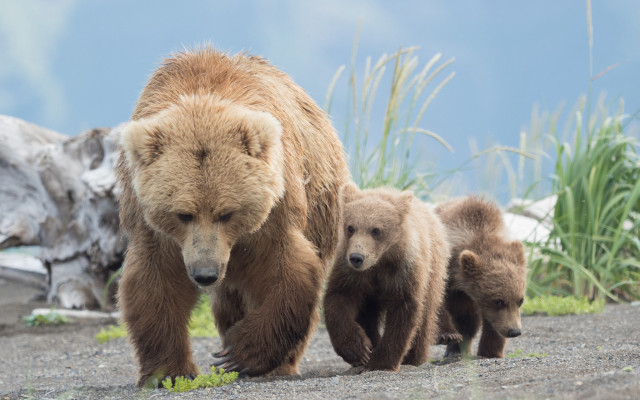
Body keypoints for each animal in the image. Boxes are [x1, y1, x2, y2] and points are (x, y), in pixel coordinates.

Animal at [116, 47, 350, 386]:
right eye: (183, 214)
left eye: (226, 213)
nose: (205, 274)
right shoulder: (152, 225)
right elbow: (156, 282)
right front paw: (169, 370)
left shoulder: (274, 207)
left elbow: (285, 270)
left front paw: (239, 354)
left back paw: (279, 363)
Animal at [323, 184, 449, 372]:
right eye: (350, 227)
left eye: (376, 230)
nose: (357, 257)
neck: (380, 262)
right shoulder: (351, 273)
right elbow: (339, 299)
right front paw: (360, 350)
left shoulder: (404, 272)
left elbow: (403, 311)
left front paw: (381, 362)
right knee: (367, 314)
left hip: (433, 271)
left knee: (425, 317)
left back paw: (414, 356)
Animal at [435, 196, 528, 359]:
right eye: (499, 301)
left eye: (520, 300)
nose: (514, 331)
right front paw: (448, 335)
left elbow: (487, 322)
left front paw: (491, 351)